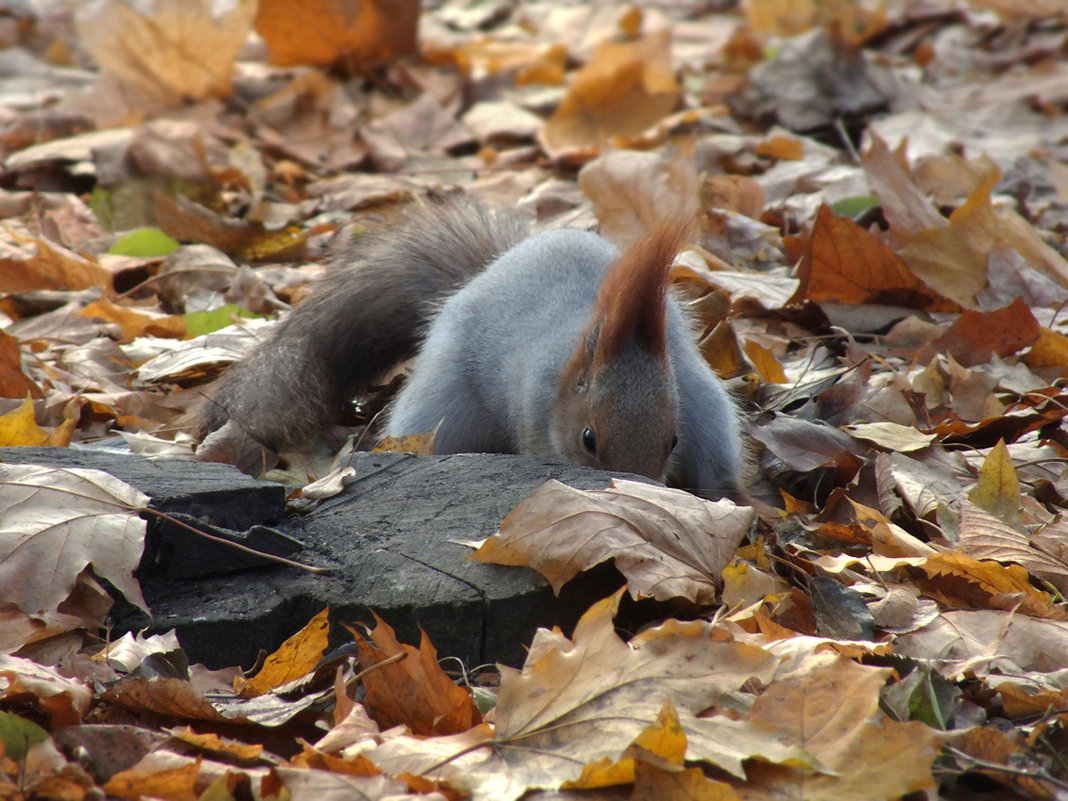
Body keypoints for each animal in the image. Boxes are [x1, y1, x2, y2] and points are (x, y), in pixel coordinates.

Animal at [192, 197, 743, 499]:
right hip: (443, 407)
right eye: (588, 439)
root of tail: (485, 271)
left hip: (703, 398)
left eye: (672, 441)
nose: (639, 489)